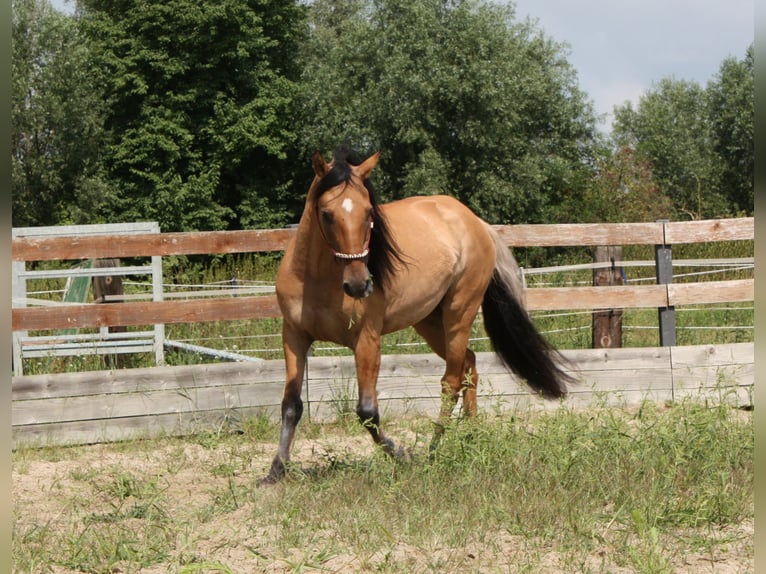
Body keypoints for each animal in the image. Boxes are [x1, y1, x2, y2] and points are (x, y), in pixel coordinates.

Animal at [260, 146, 572, 484]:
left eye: (369, 213)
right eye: (327, 214)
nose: (359, 285)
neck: (317, 278)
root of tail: (476, 222)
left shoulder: (366, 341)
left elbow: (367, 412)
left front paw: (401, 454)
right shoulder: (294, 336)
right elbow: (291, 404)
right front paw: (275, 470)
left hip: (458, 313)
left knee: (451, 381)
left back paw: (433, 451)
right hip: (429, 322)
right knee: (469, 366)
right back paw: (472, 435)